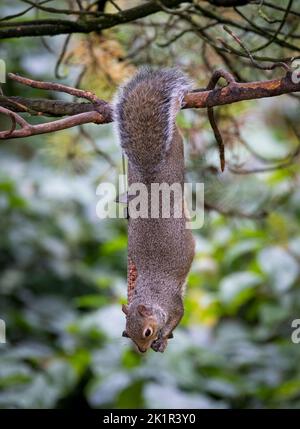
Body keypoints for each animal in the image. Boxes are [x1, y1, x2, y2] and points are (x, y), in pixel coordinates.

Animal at [114, 68, 195, 352]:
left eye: (147, 332)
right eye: (127, 333)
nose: (141, 350)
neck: (151, 293)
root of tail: (150, 176)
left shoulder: (174, 303)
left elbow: (178, 316)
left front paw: (163, 337)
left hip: (176, 154)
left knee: (177, 137)